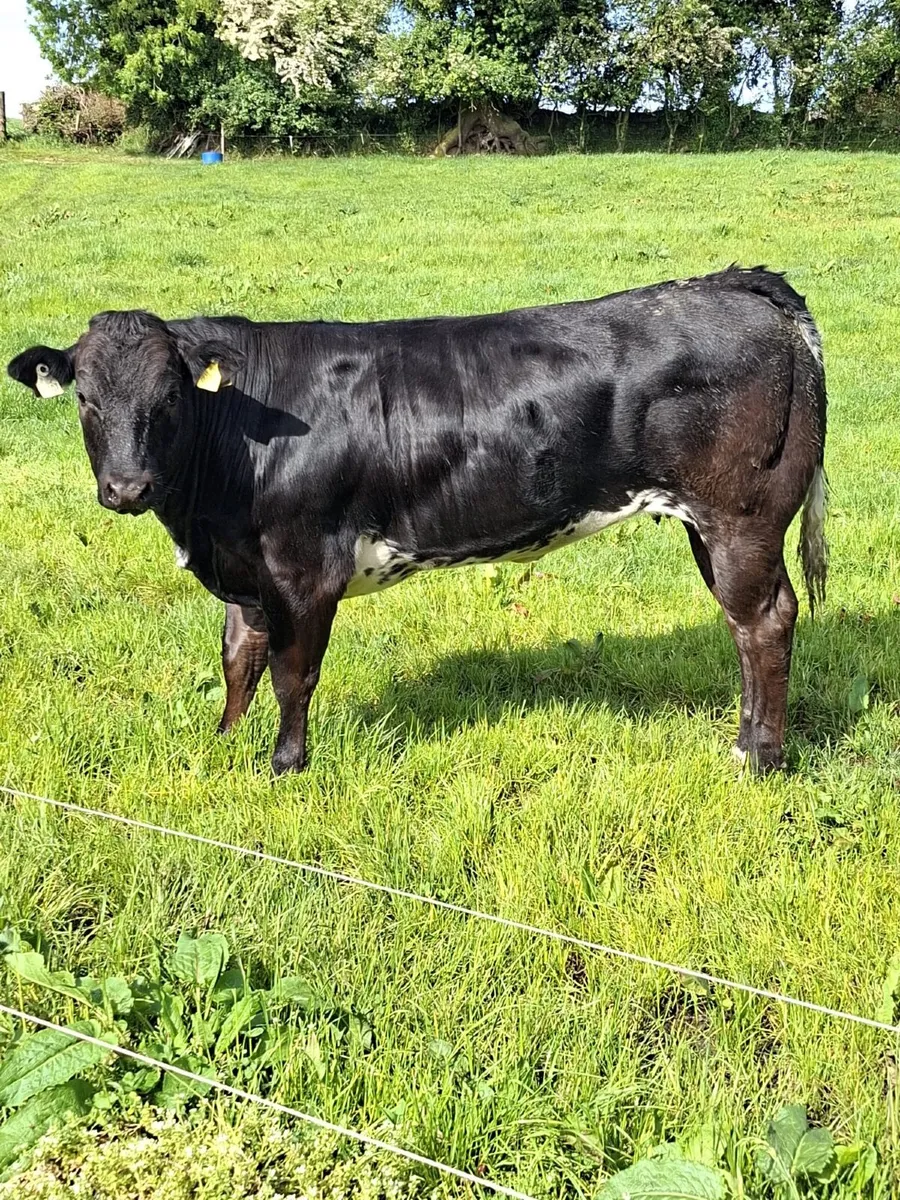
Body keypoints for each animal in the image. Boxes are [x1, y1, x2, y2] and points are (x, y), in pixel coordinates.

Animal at [7, 266, 827, 777]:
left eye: (171, 396)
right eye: (86, 399)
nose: (126, 487)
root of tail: (736, 282)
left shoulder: (304, 567)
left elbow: (293, 674)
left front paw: (285, 766)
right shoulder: (246, 570)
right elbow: (239, 658)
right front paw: (224, 744)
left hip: (741, 516)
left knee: (764, 621)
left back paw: (757, 759)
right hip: (714, 525)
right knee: (745, 624)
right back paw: (745, 743)